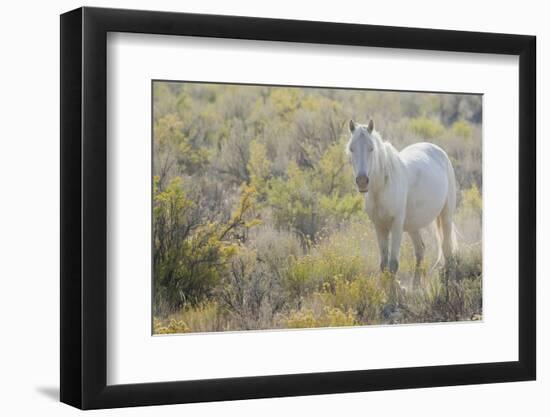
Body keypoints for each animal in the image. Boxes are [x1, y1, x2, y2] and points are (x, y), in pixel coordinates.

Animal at [348, 118, 460, 284]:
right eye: (351, 149)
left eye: (371, 148)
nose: (362, 181)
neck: (382, 188)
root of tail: (438, 151)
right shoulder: (379, 227)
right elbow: (384, 265)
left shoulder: (396, 225)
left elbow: (393, 265)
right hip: (413, 225)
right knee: (420, 250)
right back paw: (416, 286)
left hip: (446, 216)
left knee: (447, 250)